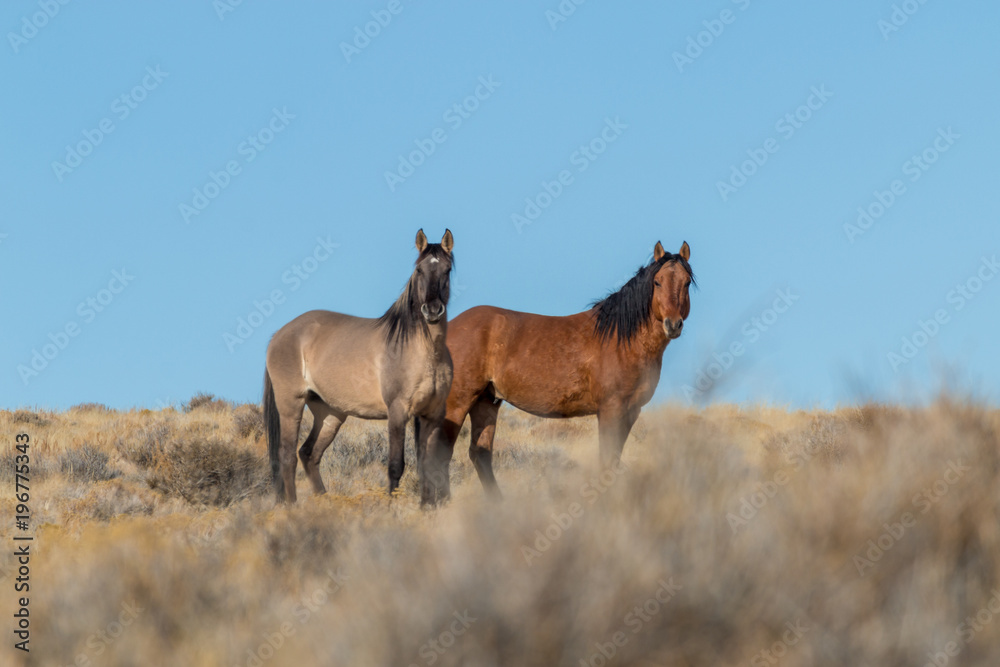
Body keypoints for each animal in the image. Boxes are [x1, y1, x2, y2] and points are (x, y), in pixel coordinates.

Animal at [264, 228, 456, 500]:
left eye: (447, 270)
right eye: (418, 269)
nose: (432, 310)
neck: (426, 351)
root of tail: (280, 334)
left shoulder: (432, 414)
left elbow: (427, 466)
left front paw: (427, 506)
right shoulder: (397, 412)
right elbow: (396, 466)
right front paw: (391, 505)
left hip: (330, 414)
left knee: (309, 454)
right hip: (291, 405)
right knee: (287, 456)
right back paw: (292, 505)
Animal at [424, 243, 696, 504]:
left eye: (686, 283)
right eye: (657, 282)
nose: (673, 324)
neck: (622, 339)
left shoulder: (631, 411)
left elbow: (613, 460)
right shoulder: (611, 409)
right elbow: (607, 459)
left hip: (486, 401)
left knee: (479, 453)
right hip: (458, 403)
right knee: (440, 454)